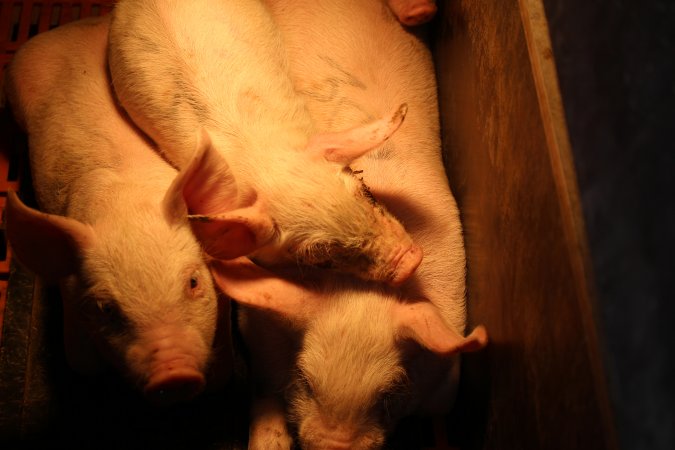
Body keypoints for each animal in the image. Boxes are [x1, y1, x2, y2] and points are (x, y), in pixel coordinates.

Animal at [3, 16, 232, 404]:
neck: (125, 204)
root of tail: (75, 25)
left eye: (193, 282)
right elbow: (81, 363)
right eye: (106, 309)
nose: (174, 375)